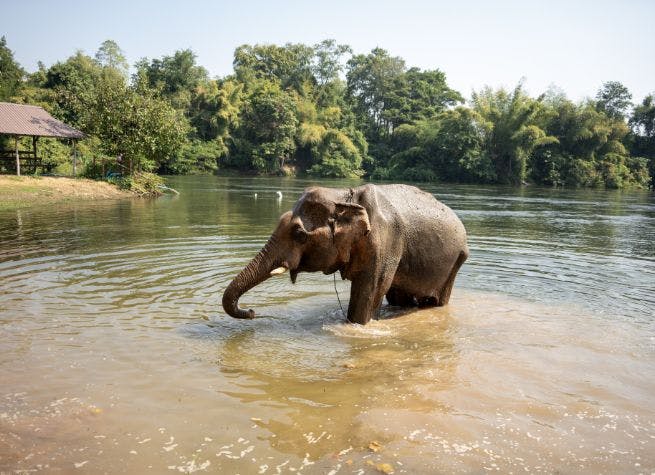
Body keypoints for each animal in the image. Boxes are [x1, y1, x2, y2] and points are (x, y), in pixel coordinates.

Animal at [223, 184, 468, 326]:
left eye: (299, 234)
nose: (252, 311)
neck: (345, 195)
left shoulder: (385, 241)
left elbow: (370, 290)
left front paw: (357, 325)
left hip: (457, 259)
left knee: (436, 300)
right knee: (400, 297)